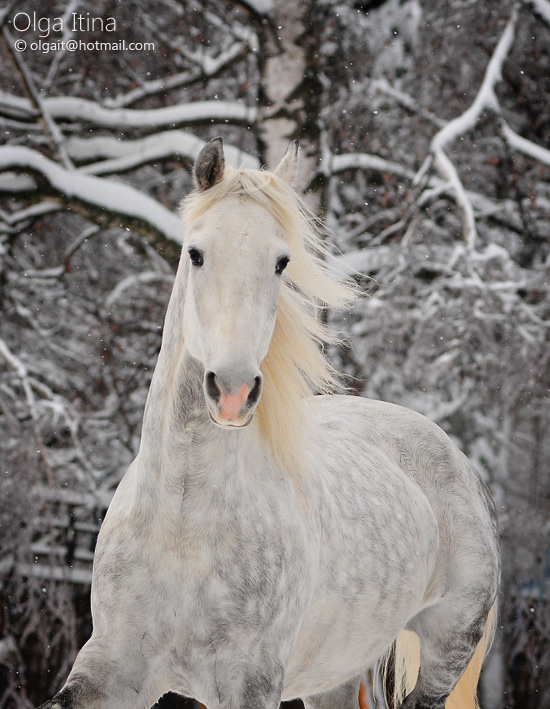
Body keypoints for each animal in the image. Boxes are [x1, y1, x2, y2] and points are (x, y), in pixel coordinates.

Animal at [38, 138, 500, 708]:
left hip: (445, 653)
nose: (233, 390)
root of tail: (458, 461)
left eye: (281, 261)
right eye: (195, 253)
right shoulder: (110, 670)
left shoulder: (249, 684)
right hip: (335, 674)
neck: (184, 525)